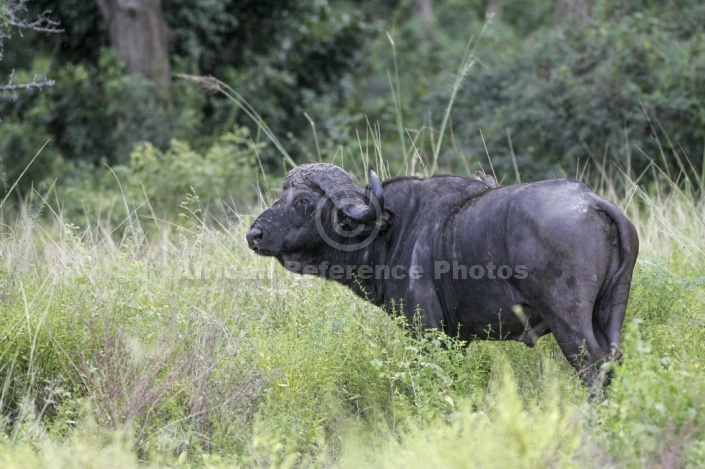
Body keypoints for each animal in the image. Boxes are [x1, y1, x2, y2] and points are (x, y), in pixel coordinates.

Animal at [246, 163, 640, 386]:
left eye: (303, 201)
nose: (254, 234)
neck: (391, 229)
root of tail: (588, 200)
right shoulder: (457, 339)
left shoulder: (427, 333)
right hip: (610, 315)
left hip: (569, 322)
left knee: (594, 368)